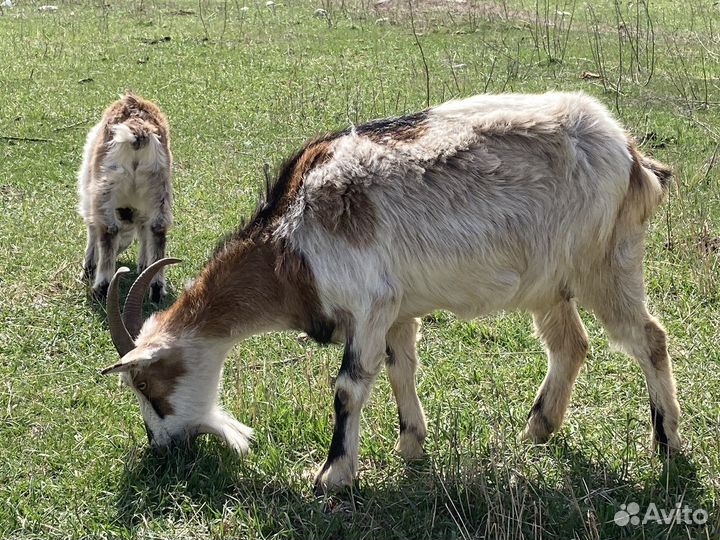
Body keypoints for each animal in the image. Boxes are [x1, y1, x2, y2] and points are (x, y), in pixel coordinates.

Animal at [77, 93, 172, 304]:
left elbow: (92, 228)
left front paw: (87, 269)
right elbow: (144, 230)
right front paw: (143, 266)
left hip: (105, 182)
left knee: (107, 229)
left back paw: (101, 287)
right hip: (159, 184)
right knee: (158, 227)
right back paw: (156, 288)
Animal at [100, 90, 680, 492]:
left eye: (146, 385)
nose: (161, 447)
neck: (292, 243)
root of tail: (631, 154)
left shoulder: (369, 305)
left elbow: (348, 387)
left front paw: (332, 475)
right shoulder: (398, 311)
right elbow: (402, 368)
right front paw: (410, 446)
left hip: (605, 263)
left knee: (648, 339)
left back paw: (668, 443)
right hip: (551, 283)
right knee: (570, 345)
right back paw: (536, 430)